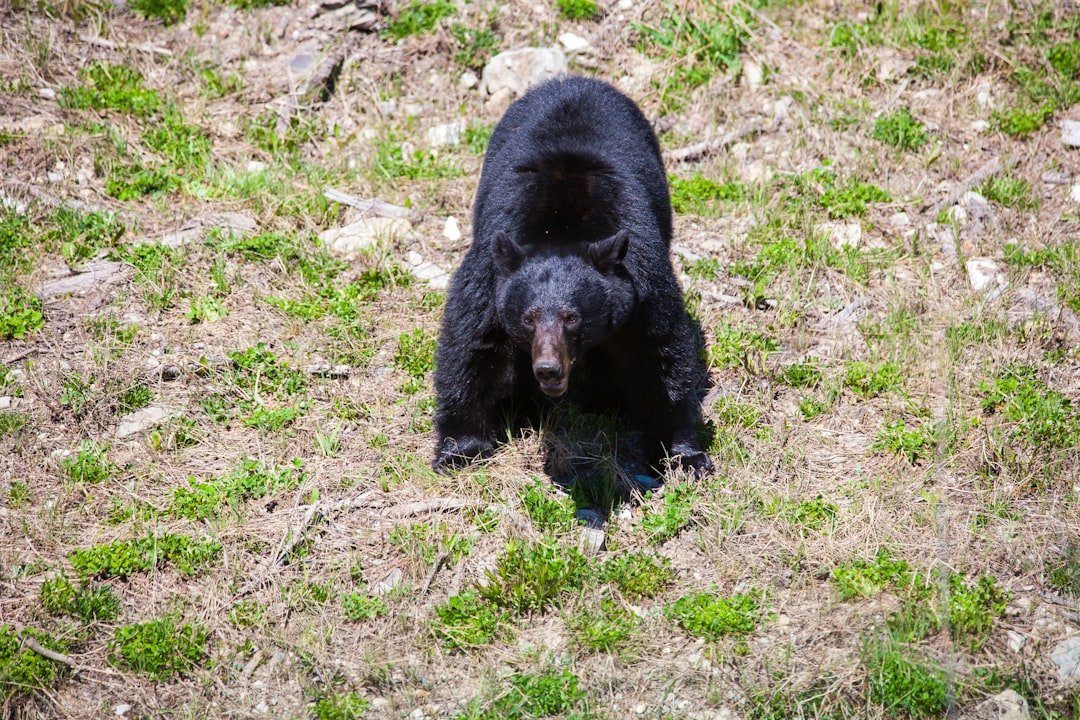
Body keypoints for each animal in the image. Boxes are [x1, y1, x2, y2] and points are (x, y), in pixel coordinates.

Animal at [433, 76, 713, 477]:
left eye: (572, 318)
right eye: (529, 318)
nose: (549, 369)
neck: (560, 229)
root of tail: (576, 80)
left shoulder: (641, 273)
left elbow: (658, 351)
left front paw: (683, 454)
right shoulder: (491, 266)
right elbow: (473, 342)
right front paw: (460, 449)